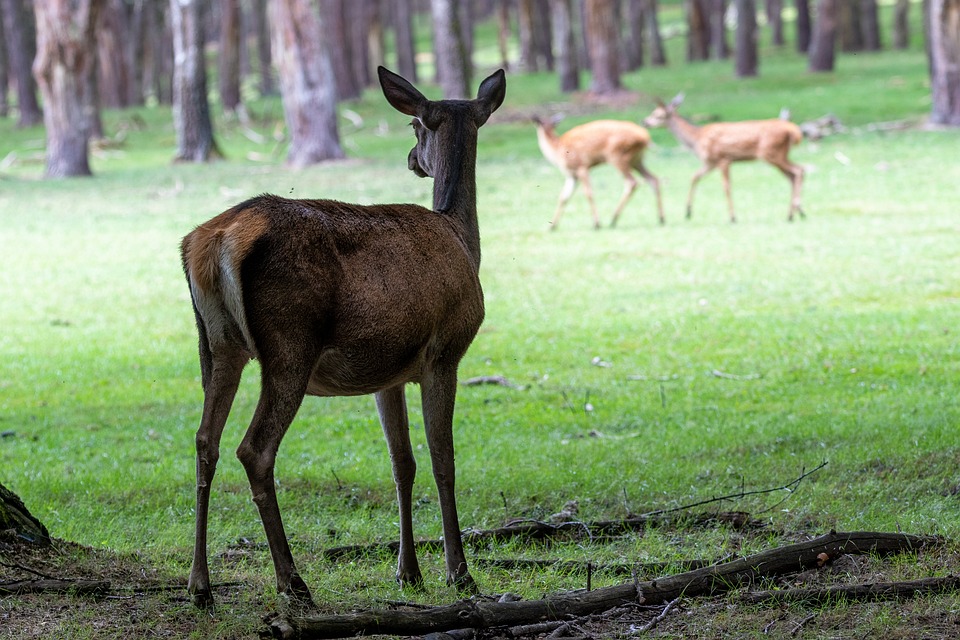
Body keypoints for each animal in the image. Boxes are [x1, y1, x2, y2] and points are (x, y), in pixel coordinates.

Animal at [179, 66, 506, 608]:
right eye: (416, 123)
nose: (411, 159)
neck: (463, 239)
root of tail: (215, 240)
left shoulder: (388, 374)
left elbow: (402, 463)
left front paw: (408, 572)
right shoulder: (444, 352)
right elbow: (444, 460)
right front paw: (459, 573)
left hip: (215, 343)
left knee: (206, 441)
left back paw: (201, 585)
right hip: (290, 343)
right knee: (254, 449)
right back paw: (292, 581)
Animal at [532, 115, 663, 230]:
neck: (557, 150)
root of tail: (645, 138)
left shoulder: (582, 167)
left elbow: (588, 193)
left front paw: (596, 224)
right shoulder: (571, 175)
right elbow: (563, 197)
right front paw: (552, 226)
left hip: (618, 156)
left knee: (632, 182)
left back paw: (613, 219)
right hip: (636, 160)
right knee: (653, 179)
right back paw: (661, 218)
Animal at [643, 93, 805, 223]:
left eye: (657, 114)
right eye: (653, 112)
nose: (645, 122)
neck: (697, 140)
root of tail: (793, 131)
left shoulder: (723, 159)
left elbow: (726, 187)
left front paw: (732, 217)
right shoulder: (710, 163)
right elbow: (694, 177)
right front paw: (688, 212)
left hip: (771, 153)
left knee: (798, 170)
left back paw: (798, 210)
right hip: (779, 154)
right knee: (793, 175)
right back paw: (793, 214)